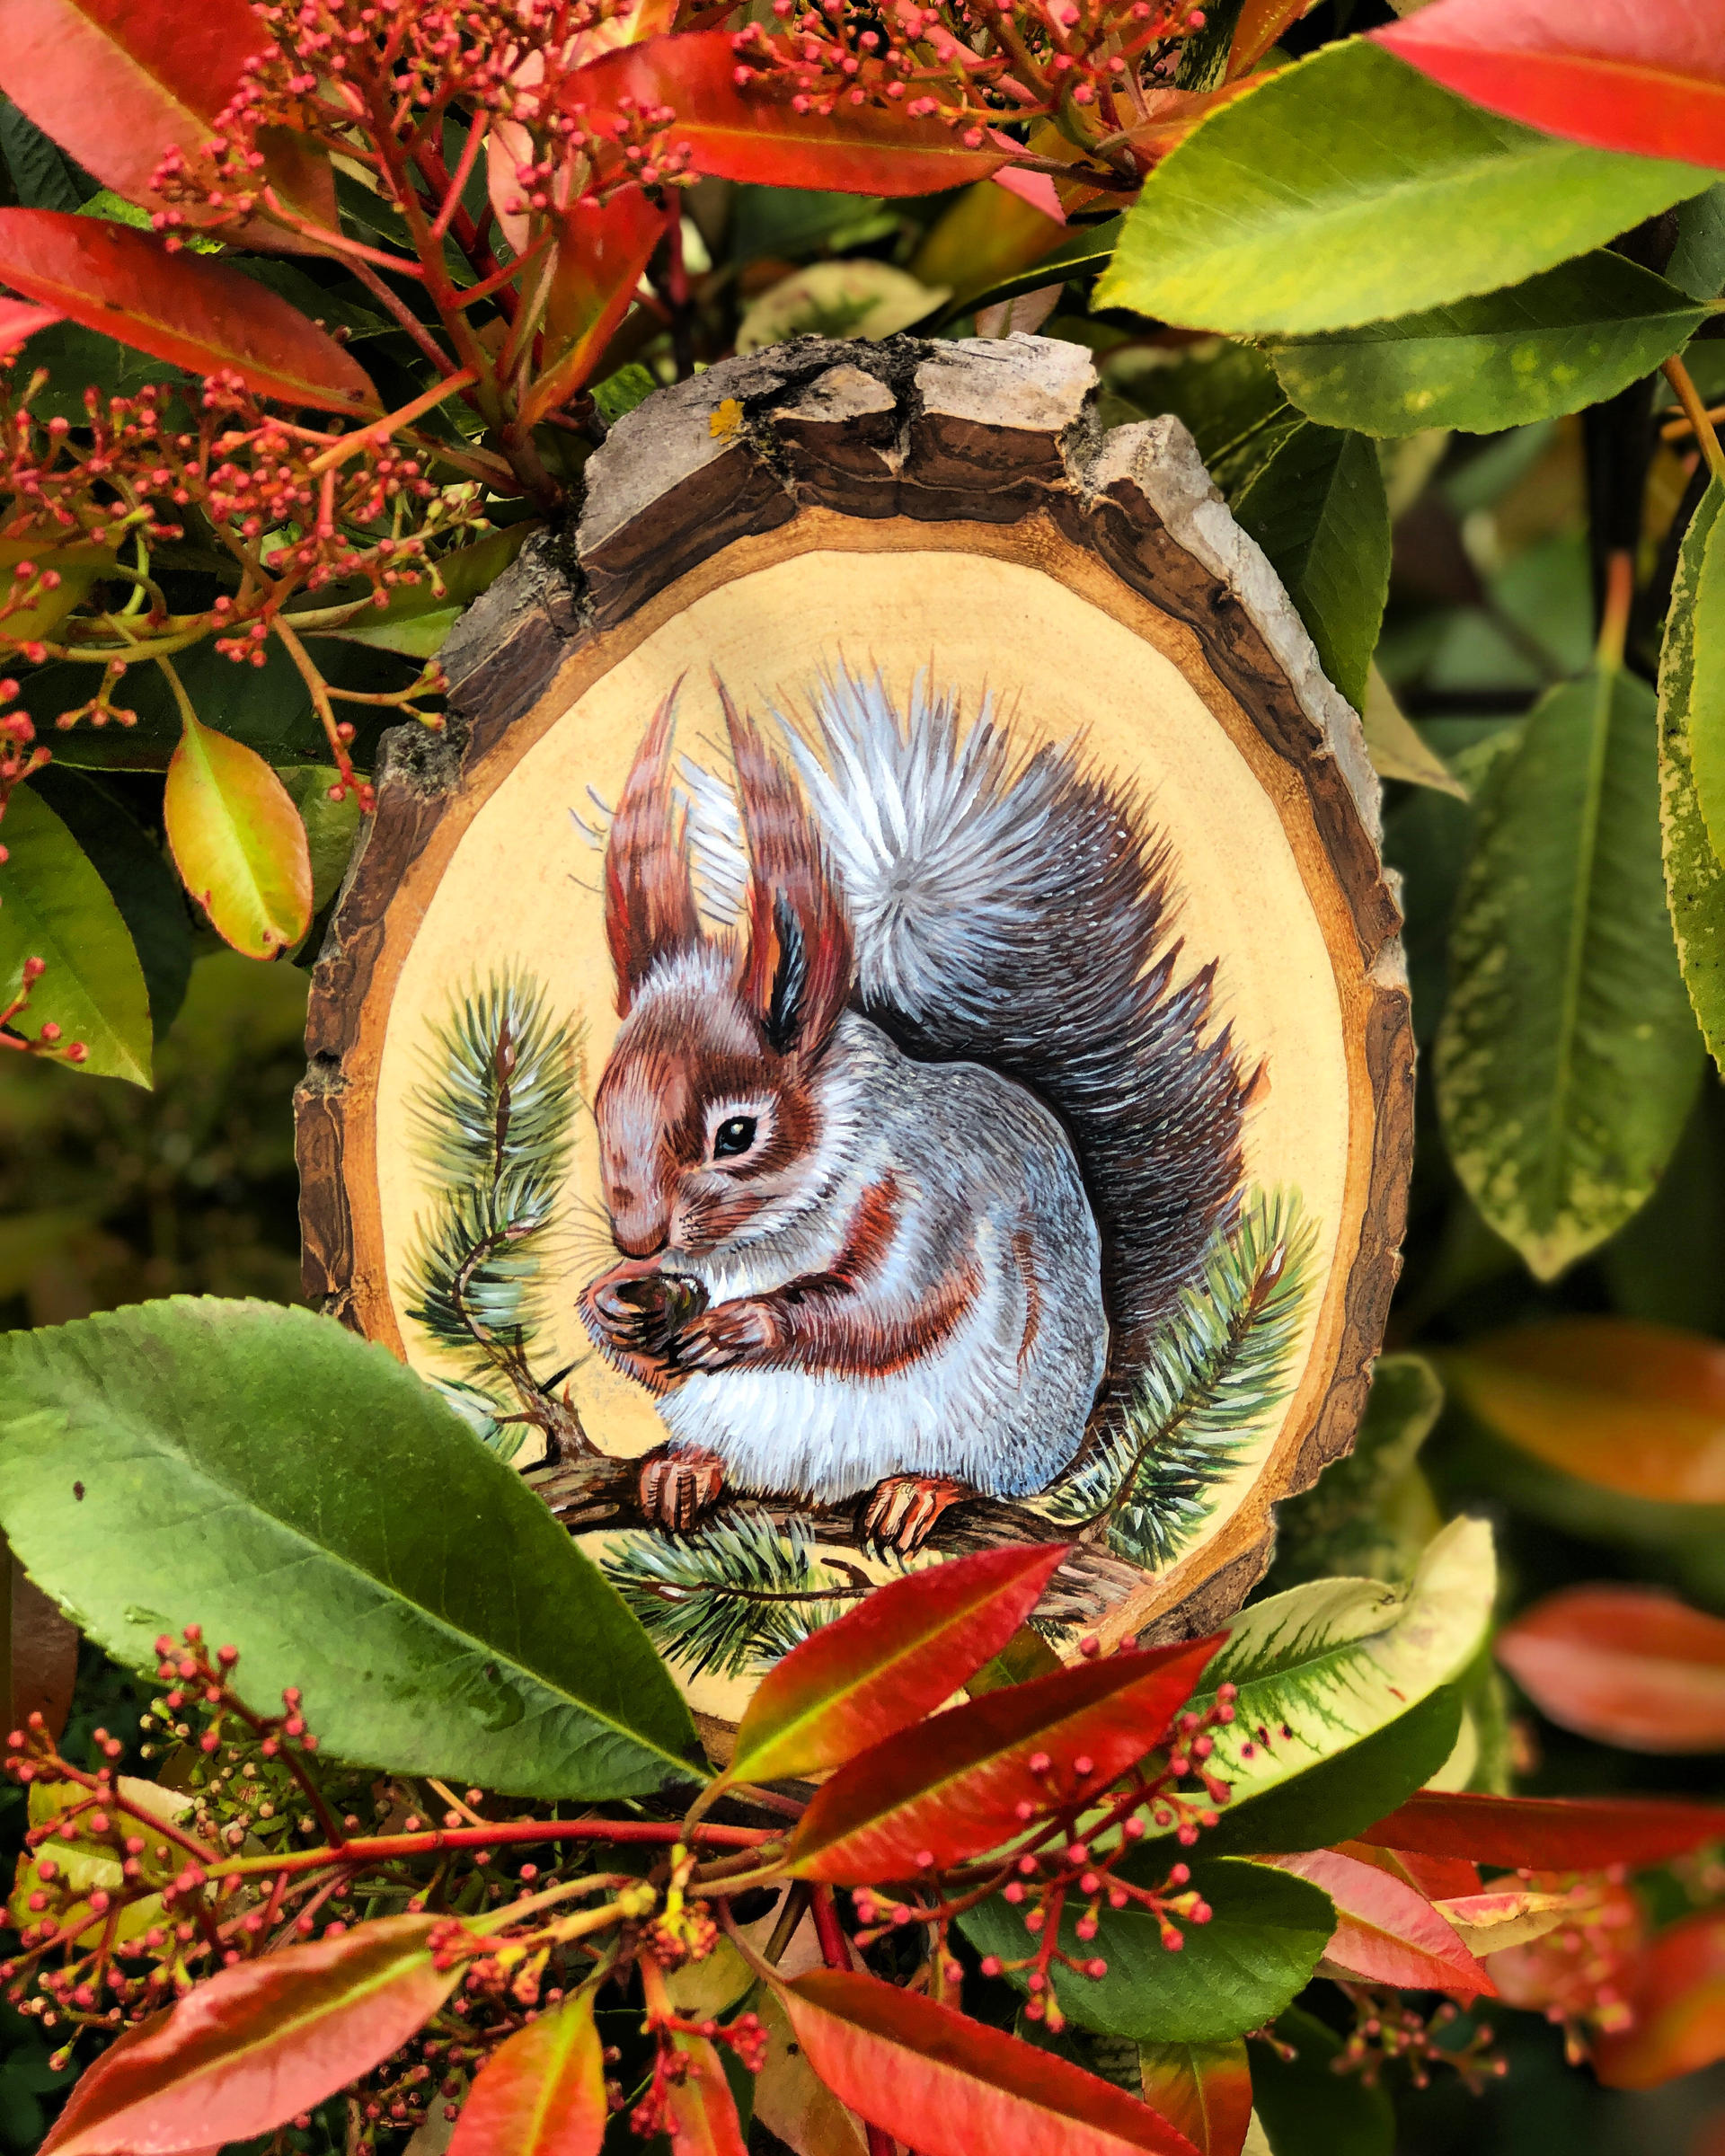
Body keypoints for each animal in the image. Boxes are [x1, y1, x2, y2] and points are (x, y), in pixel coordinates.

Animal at [578, 666, 1249, 1554]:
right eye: (600, 1104)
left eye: (737, 1134)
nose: (637, 1240)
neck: (763, 1237)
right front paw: (610, 1305)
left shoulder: (935, 1203)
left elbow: (891, 1308)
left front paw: (749, 1327)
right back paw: (685, 1467)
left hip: (1009, 1427)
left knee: (984, 1473)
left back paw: (920, 1491)